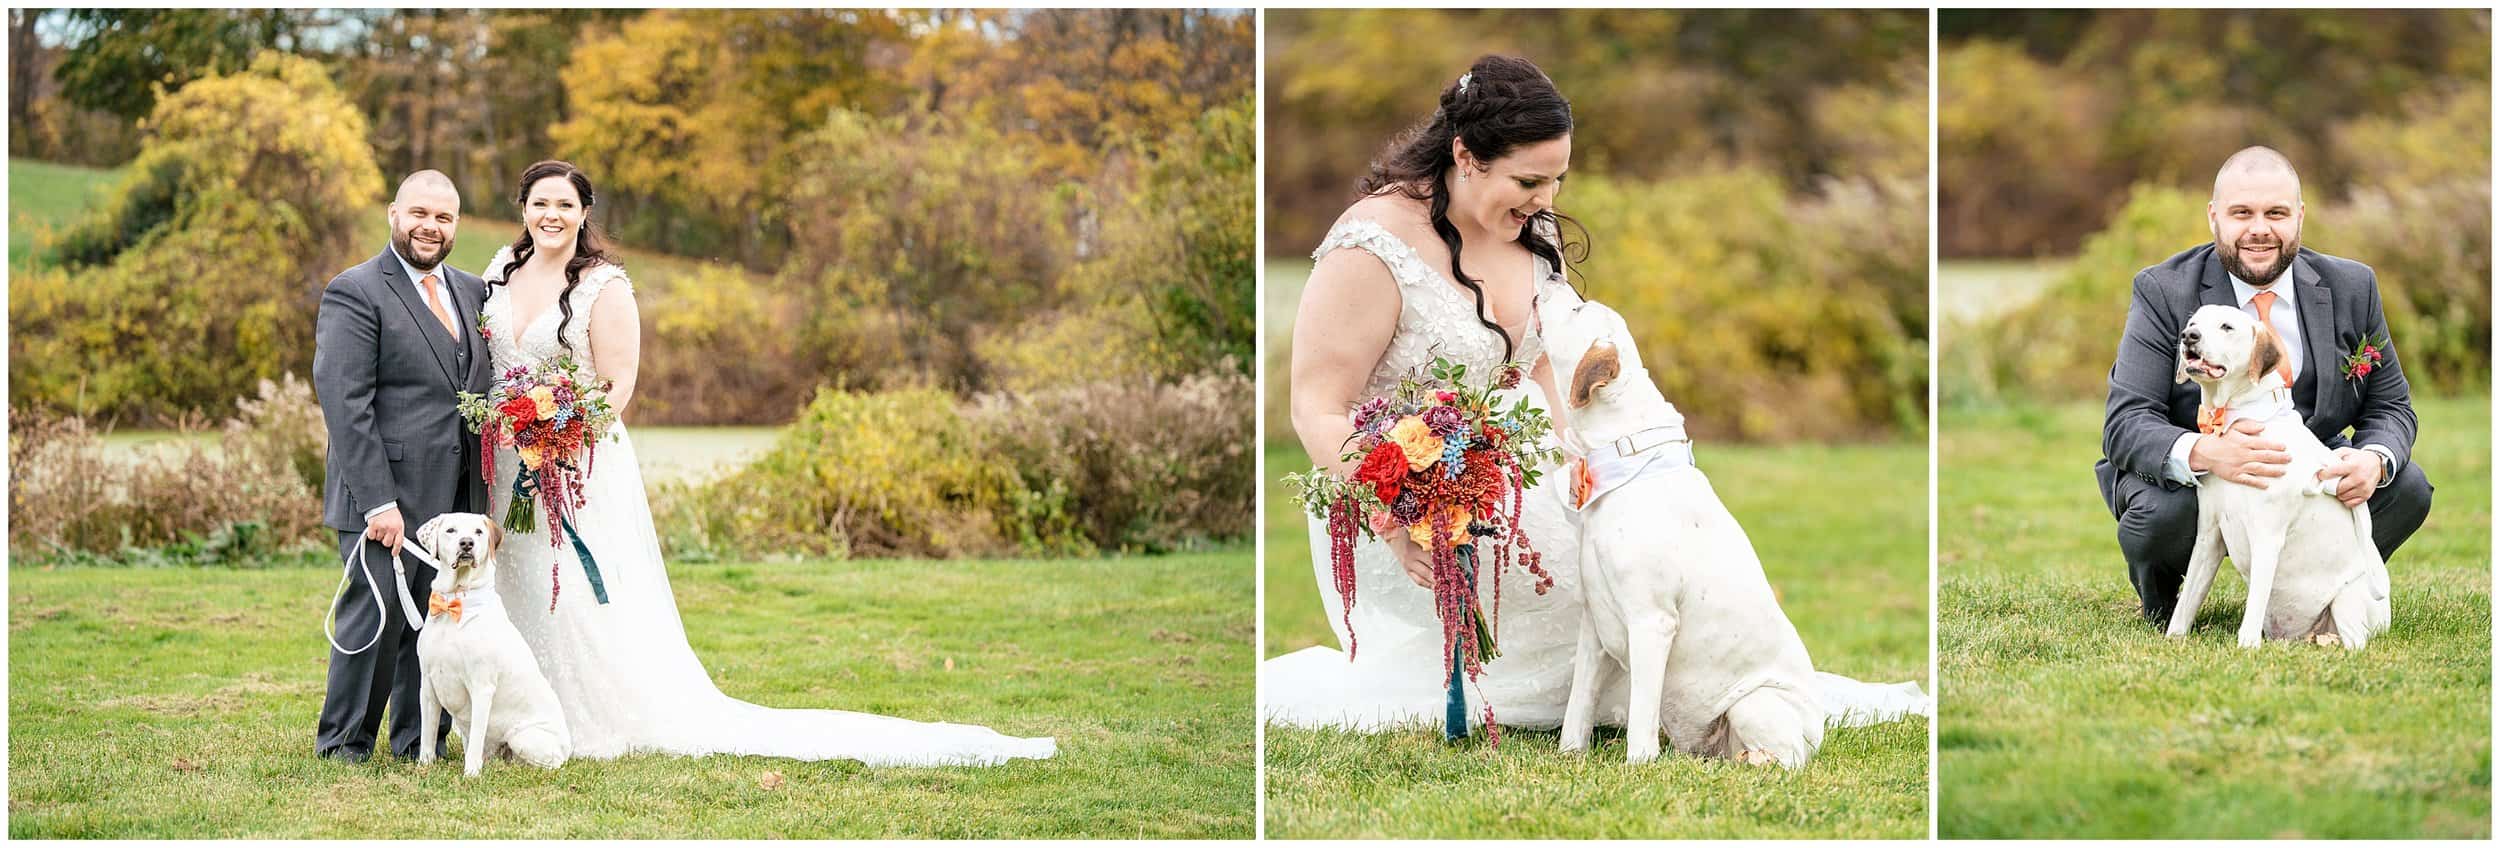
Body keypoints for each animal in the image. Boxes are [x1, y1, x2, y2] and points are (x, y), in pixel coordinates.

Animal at [415, 512, 572, 775]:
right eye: (450, 530)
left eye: (478, 532)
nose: (466, 543)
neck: (455, 603)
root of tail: (568, 747)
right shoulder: (428, 685)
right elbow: (427, 735)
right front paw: (424, 767)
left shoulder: (481, 686)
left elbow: (477, 739)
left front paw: (471, 774)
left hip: (524, 738)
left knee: (549, 764)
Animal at [1530, 293, 1830, 770]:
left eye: (1577, 309)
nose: (1554, 281)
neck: (1628, 462)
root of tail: (1817, 730)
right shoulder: (1594, 628)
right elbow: (1579, 704)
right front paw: (1571, 754)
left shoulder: (1651, 623)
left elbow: (1641, 714)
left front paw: (1638, 764)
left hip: (1755, 704)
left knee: (1786, 758)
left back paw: (1752, 761)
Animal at [2160, 303, 2390, 650]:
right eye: (2193, 323)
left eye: (2226, 327)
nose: (2189, 336)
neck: (2237, 416)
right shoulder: (2209, 535)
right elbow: (2188, 599)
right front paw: (2174, 638)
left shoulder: (2267, 535)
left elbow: (2255, 602)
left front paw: (2246, 646)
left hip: (2347, 598)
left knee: (2356, 642)